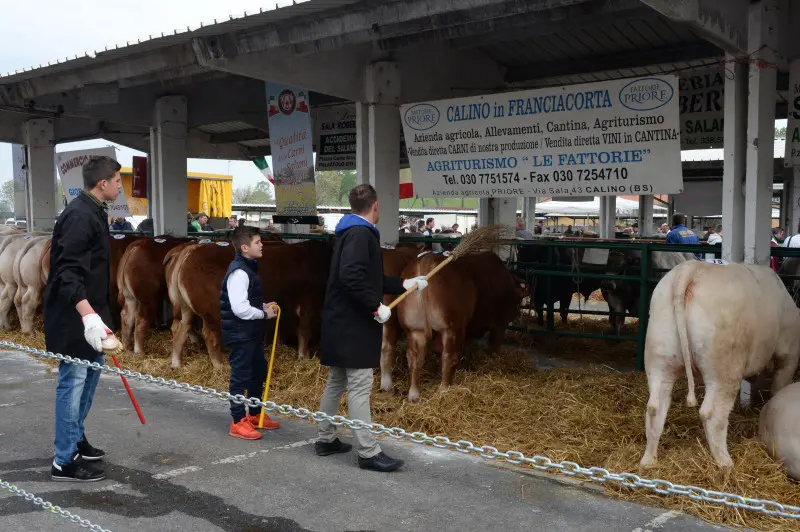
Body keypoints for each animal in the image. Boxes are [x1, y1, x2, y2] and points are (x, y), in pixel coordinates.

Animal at [396, 251, 528, 402]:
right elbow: (493, 348)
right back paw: (444, 390)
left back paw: (414, 394)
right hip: (451, 328)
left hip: (414, 329)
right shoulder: (499, 324)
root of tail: (427, 258)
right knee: (449, 357)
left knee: (414, 358)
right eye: (519, 299)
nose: (516, 314)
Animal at [640, 262, 800, 470]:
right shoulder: (789, 355)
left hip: (659, 359)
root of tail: (690, 268)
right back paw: (725, 463)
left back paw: (648, 461)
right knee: (712, 415)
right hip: (724, 369)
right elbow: (778, 387)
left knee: (655, 408)